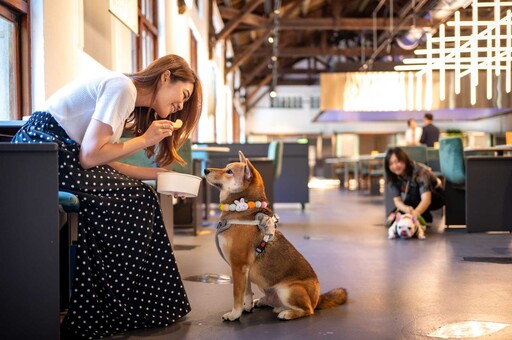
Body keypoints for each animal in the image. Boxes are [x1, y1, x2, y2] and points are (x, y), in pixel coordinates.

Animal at [204, 151, 348, 322]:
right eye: (226, 168)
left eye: (229, 171)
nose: (205, 170)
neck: (243, 209)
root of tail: (317, 298)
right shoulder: (245, 271)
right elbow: (246, 292)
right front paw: (247, 307)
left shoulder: (238, 266)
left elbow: (237, 295)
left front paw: (234, 314)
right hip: (265, 285)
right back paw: (263, 302)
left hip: (287, 290)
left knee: (307, 310)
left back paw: (287, 313)